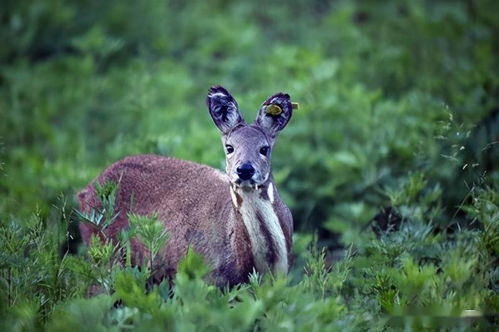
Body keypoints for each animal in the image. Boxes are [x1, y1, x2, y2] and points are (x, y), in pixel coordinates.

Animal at [78, 86, 296, 288]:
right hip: (106, 252)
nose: (244, 169)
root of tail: (86, 190)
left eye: (264, 148)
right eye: (229, 147)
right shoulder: (209, 277)